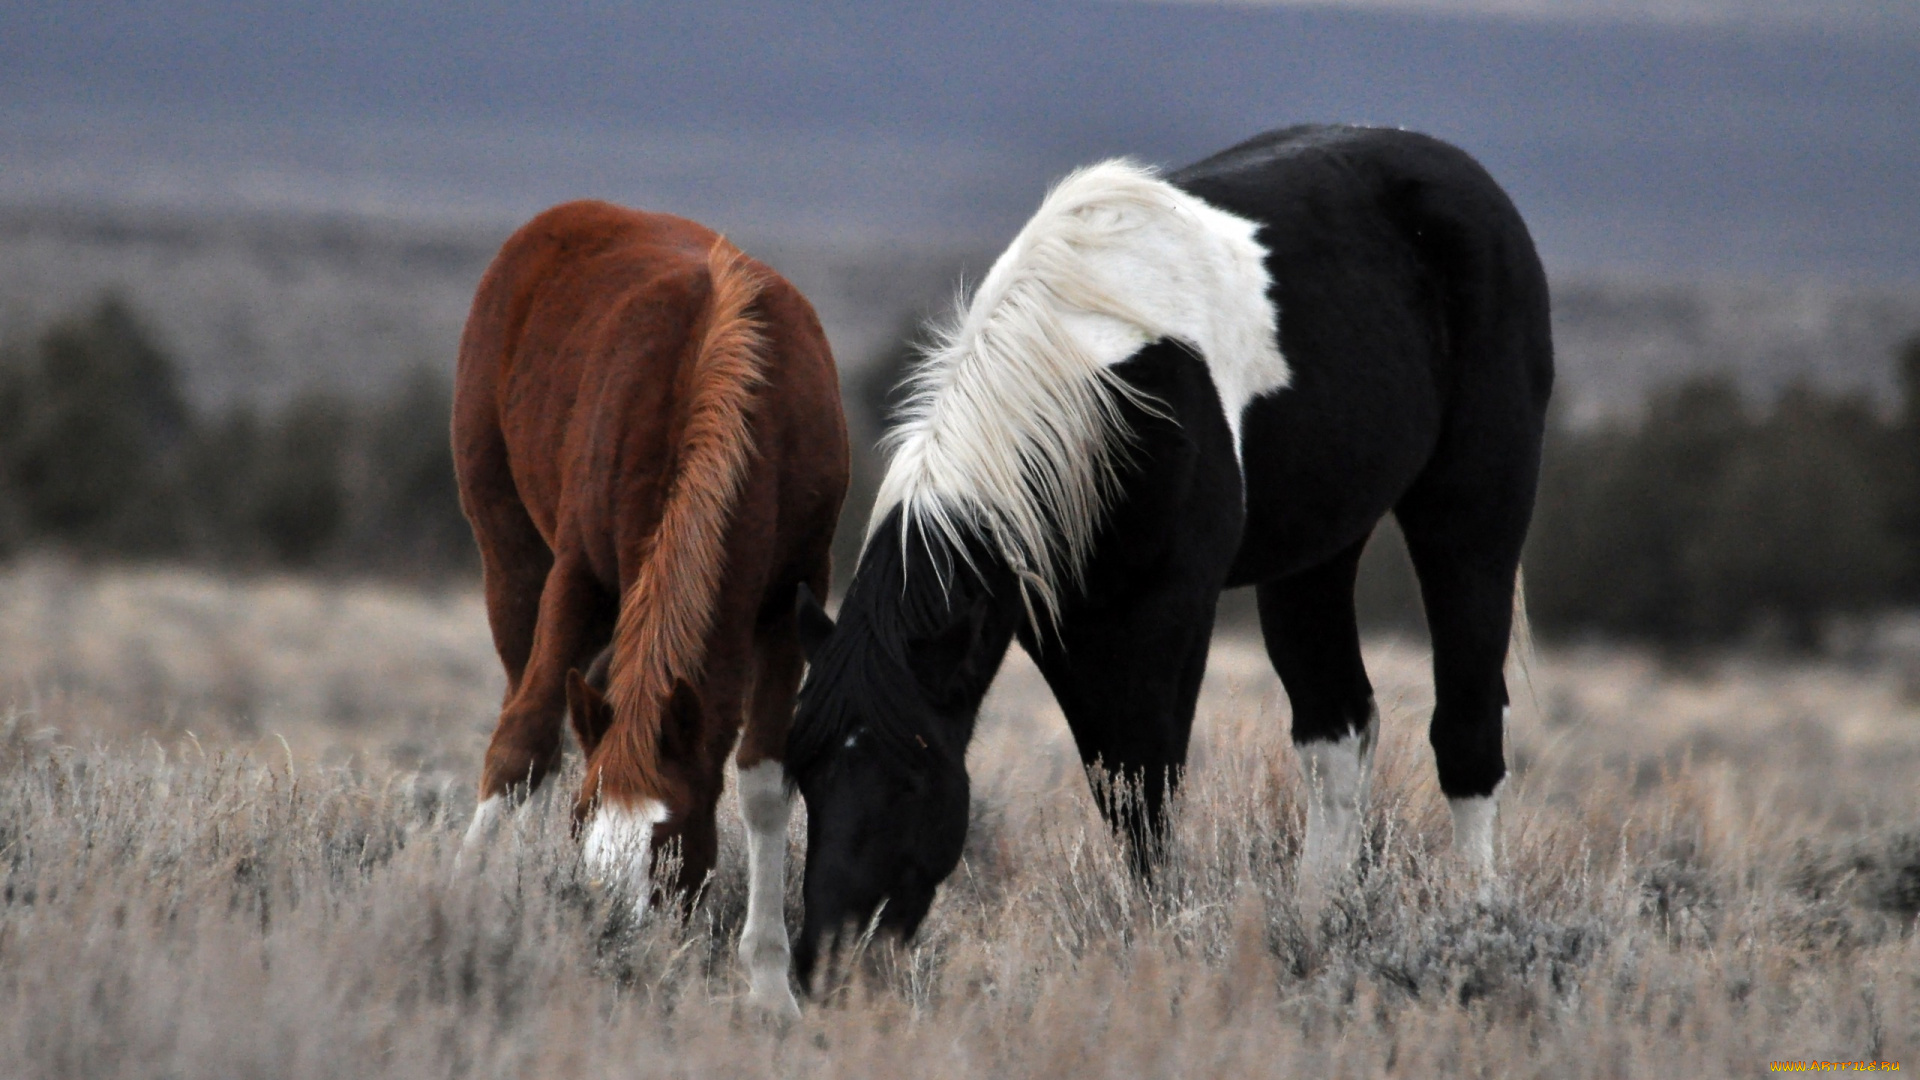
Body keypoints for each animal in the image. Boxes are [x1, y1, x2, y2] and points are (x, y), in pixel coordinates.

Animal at [453, 199, 844, 1006]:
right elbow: (521, 742)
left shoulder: (793, 596)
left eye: (670, 840)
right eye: (583, 823)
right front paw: (460, 899)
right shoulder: (578, 575)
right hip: (510, 560)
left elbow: (764, 779)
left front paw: (769, 981)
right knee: (528, 706)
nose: (613, 939)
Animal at [787, 125, 1551, 983]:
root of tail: (1460, 173)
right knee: (1338, 731)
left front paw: (1157, 943)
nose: (824, 964)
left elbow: (1147, 786)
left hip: (1473, 509)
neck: (1097, 387)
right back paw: (1315, 929)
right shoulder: (1067, 626)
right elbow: (1118, 789)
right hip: (1316, 554)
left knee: (1468, 730)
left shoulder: (1168, 611)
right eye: (803, 771)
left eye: (913, 772)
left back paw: (1478, 931)